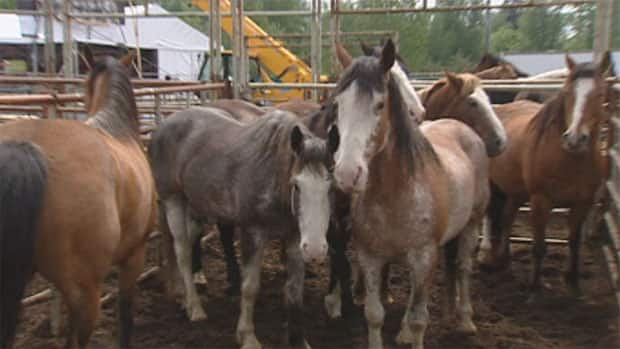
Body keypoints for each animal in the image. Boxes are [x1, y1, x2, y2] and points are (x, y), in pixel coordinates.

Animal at [151, 107, 342, 346]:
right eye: (296, 185)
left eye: (331, 186)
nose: (316, 249)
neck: (273, 175)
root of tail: (162, 126)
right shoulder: (253, 232)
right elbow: (250, 287)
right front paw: (248, 337)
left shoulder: (294, 237)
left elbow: (295, 289)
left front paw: (298, 340)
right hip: (173, 199)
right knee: (182, 251)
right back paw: (195, 307)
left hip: (193, 205)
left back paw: (181, 296)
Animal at [330, 38, 490, 348]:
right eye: (338, 104)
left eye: (380, 105)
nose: (346, 173)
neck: (393, 193)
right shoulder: (370, 256)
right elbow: (374, 315)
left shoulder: (424, 257)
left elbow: (419, 320)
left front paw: (412, 330)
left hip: (472, 223)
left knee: (463, 267)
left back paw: (465, 320)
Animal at [478, 53, 612, 298]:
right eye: (567, 93)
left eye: (600, 95)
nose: (574, 139)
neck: (570, 159)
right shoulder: (541, 200)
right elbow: (539, 246)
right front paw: (534, 288)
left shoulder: (583, 203)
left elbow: (573, 242)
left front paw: (574, 283)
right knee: (493, 215)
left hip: (516, 191)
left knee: (507, 217)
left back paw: (504, 259)